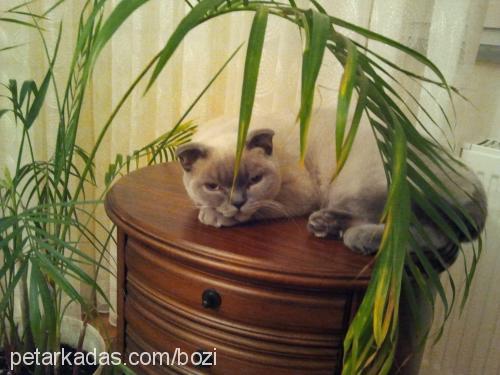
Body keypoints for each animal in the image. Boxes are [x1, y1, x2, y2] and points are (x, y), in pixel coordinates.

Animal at [175, 107, 484, 258]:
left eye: (254, 180)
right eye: (213, 186)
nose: (238, 203)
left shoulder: (296, 194)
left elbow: (260, 209)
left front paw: (214, 216)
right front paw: (210, 210)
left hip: (355, 186)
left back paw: (332, 228)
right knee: (429, 236)